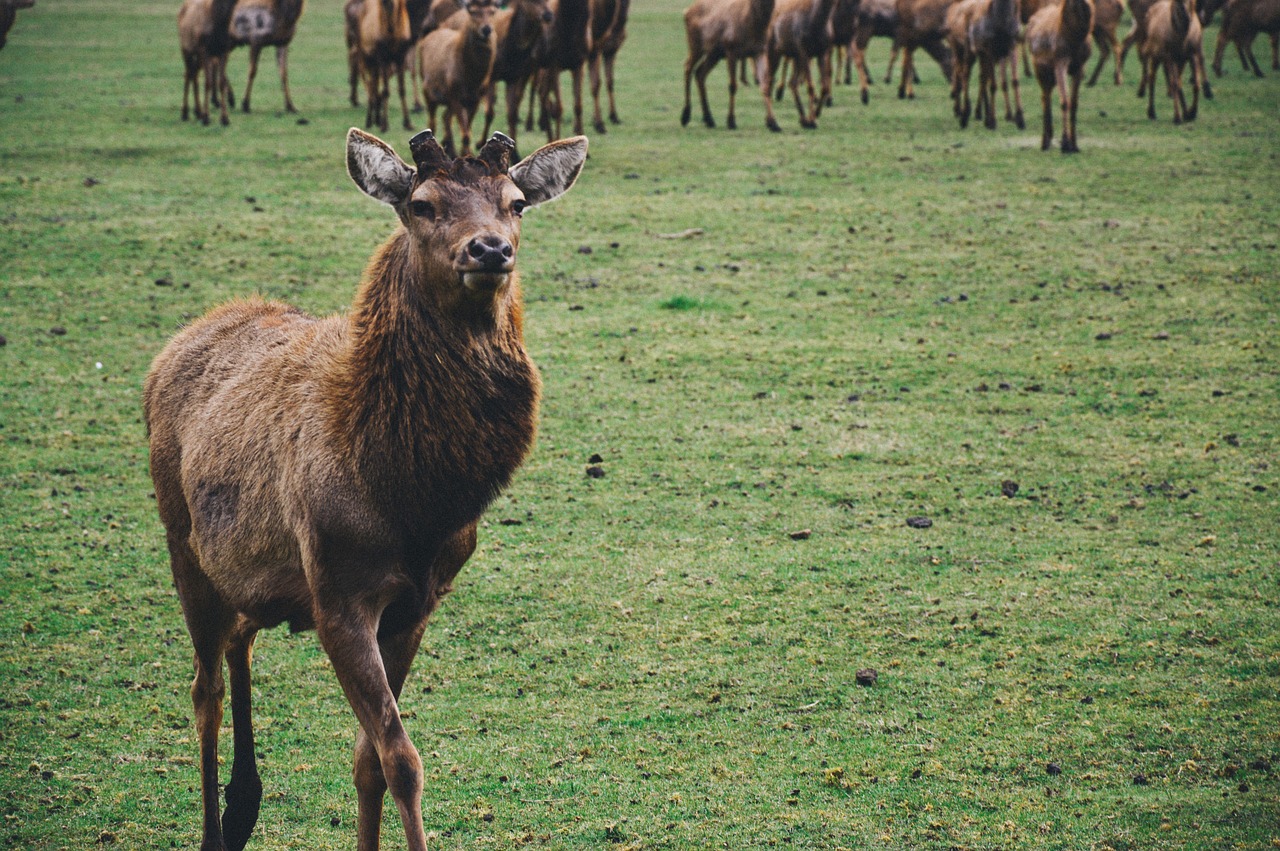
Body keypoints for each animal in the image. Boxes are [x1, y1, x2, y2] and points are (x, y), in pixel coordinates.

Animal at [145, 126, 588, 849]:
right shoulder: (338, 593)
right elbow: (401, 757)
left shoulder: (418, 601)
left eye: (517, 202)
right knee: (204, 689)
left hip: (251, 568)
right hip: (182, 542)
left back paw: (244, 804)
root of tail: (176, 344)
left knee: (241, 638)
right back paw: (215, 823)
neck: (412, 499)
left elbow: (369, 760)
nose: (490, 248)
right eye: (422, 203)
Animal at [419, 0, 499, 155]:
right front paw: (465, 155)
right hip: (428, 91)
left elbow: (468, 130)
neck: (471, 79)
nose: (486, 29)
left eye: (493, 11)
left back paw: (450, 149)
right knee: (432, 122)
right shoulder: (455, 95)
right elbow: (466, 134)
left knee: (445, 117)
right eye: (473, 11)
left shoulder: (475, 98)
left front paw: (466, 154)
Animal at [588, 0, 629, 131]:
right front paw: (598, 123)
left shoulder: (611, 51)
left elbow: (610, 81)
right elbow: (596, 84)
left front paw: (614, 116)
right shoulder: (596, 50)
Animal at [1024, 0, 1095, 151]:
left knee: (1047, 96)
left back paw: (1049, 137)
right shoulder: (1060, 61)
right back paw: (1044, 142)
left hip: (1050, 74)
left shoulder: (1080, 66)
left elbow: (1074, 103)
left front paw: (1074, 144)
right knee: (1044, 97)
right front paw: (1065, 143)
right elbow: (1064, 101)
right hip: (1039, 68)